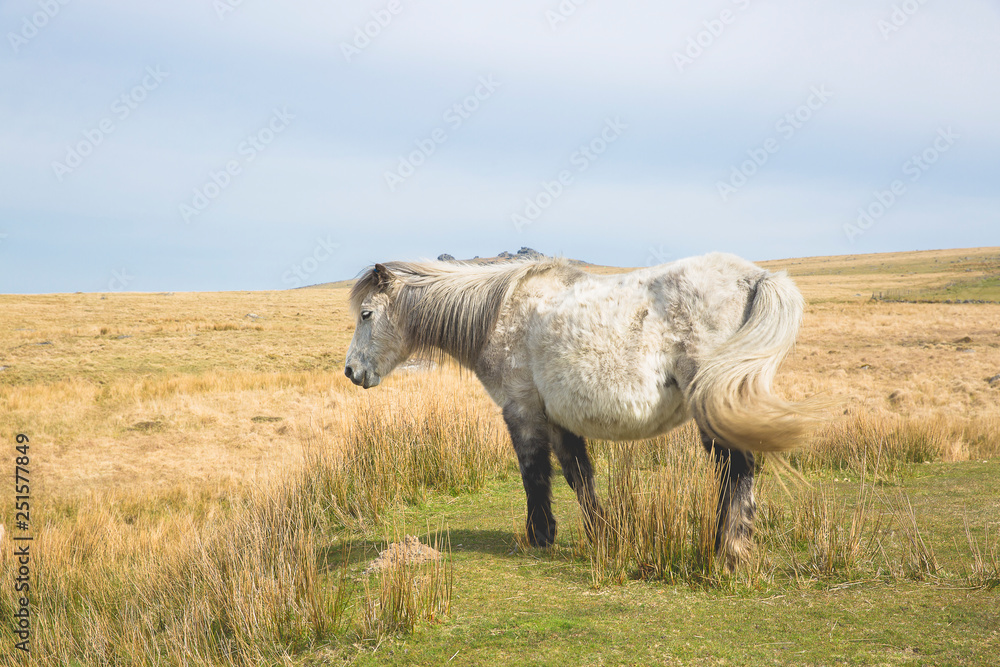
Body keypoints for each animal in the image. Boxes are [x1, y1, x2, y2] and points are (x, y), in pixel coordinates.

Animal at [343, 252, 818, 570]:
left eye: (366, 314)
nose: (351, 371)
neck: (500, 315)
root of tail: (756, 277)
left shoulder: (522, 409)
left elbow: (534, 472)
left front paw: (540, 536)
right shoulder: (556, 417)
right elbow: (578, 475)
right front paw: (602, 536)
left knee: (734, 468)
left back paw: (727, 552)